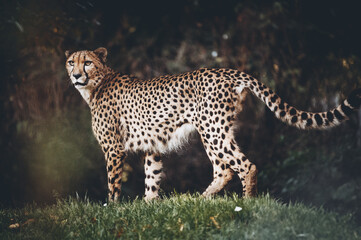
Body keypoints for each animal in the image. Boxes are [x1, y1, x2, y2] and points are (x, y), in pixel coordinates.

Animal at [64, 47, 360, 202]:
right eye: (70, 62)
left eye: (87, 62)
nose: (76, 75)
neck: (96, 84)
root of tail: (227, 70)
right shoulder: (153, 147)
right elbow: (152, 178)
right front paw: (148, 206)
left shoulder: (113, 149)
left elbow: (113, 184)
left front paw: (113, 208)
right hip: (219, 129)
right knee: (224, 170)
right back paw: (202, 199)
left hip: (212, 131)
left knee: (243, 165)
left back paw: (248, 203)